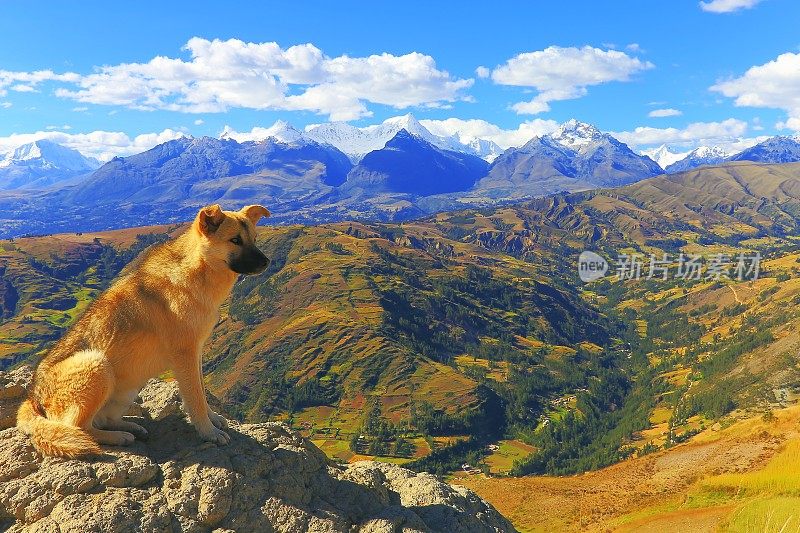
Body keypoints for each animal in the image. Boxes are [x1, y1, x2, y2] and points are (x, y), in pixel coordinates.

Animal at [15, 204, 270, 458]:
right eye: (235, 240)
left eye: (255, 239)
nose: (266, 262)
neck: (195, 272)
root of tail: (33, 398)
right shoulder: (185, 356)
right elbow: (196, 399)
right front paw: (208, 432)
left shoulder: (195, 354)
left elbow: (202, 393)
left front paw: (214, 419)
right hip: (97, 364)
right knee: (78, 427)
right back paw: (118, 437)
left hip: (129, 385)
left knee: (103, 420)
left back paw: (130, 427)